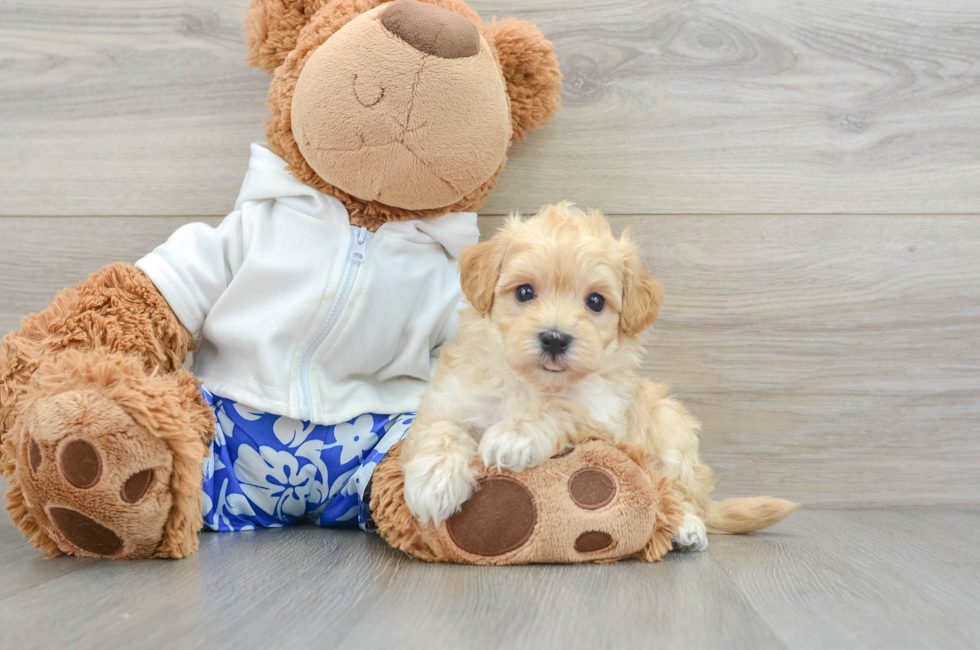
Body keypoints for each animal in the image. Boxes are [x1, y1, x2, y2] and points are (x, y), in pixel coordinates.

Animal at [398, 201, 796, 548]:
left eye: (595, 301)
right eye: (524, 292)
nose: (555, 339)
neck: (534, 385)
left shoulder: (603, 419)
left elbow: (559, 409)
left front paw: (515, 435)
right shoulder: (451, 397)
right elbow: (441, 430)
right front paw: (434, 483)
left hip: (672, 435)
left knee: (677, 491)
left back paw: (686, 525)